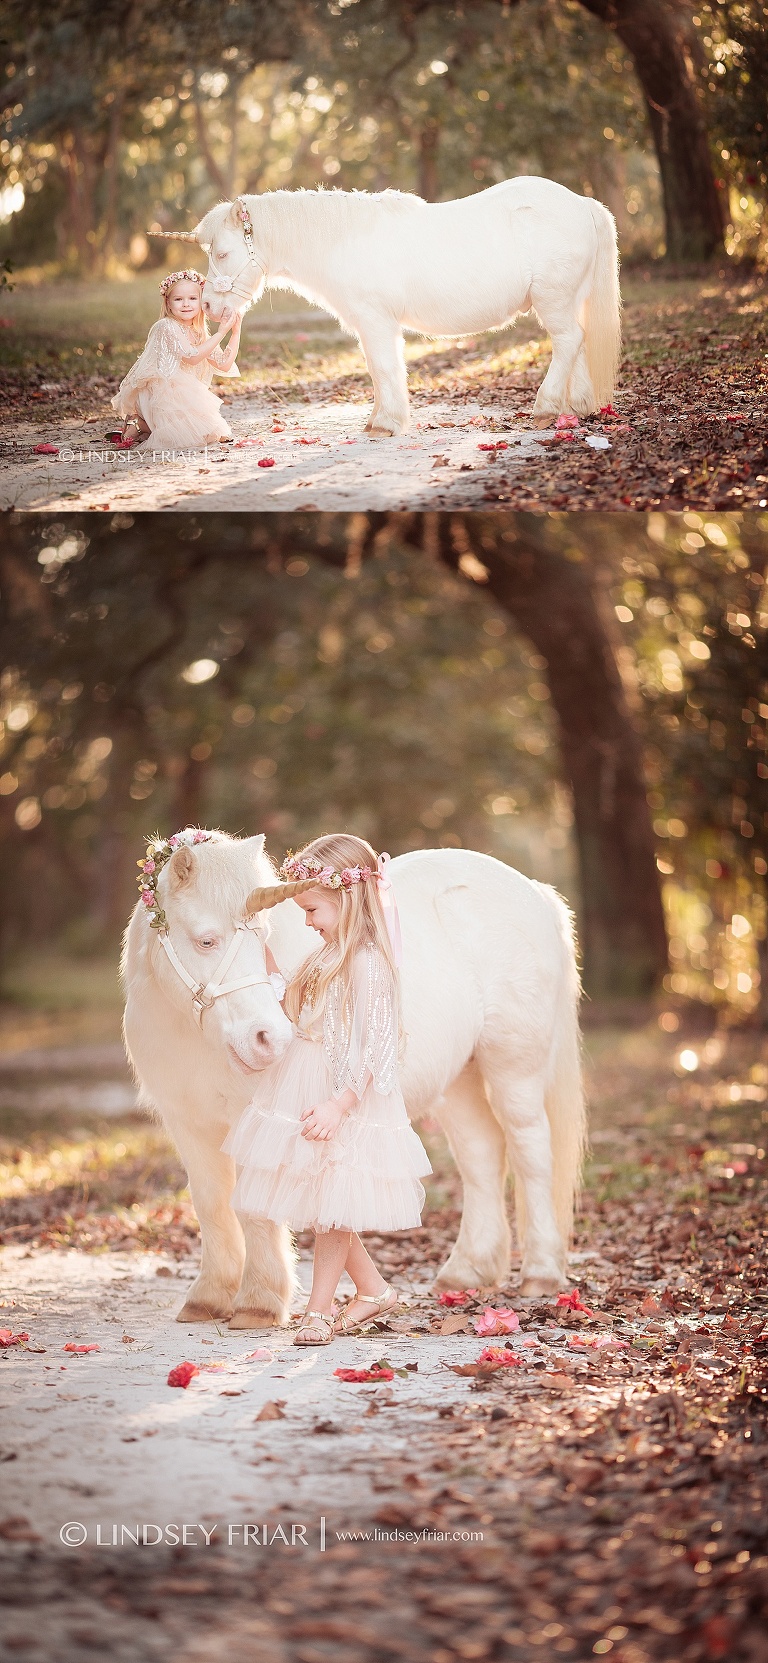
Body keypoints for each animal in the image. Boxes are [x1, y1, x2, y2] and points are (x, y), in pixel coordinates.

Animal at [123, 838, 585, 1330]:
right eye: (206, 940)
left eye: (261, 937)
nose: (269, 1039)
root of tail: (535, 892)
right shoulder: (189, 1124)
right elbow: (212, 1204)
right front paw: (208, 1298)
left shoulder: (253, 1121)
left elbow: (252, 1207)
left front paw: (258, 1304)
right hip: (460, 1080)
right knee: (482, 1154)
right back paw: (466, 1271)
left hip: (514, 1070)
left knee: (531, 1153)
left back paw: (540, 1273)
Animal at [158, 180, 621, 435]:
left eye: (221, 253)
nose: (208, 306)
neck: (344, 241)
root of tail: (582, 203)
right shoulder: (371, 326)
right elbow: (380, 370)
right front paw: (381, 418)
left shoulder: (376, 321)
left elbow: (383, 368)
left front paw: (386, 424)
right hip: (569, 300)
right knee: (577, 342)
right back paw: (576, 408)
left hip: (554, 300)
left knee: (568, 341)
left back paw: (546, 408)